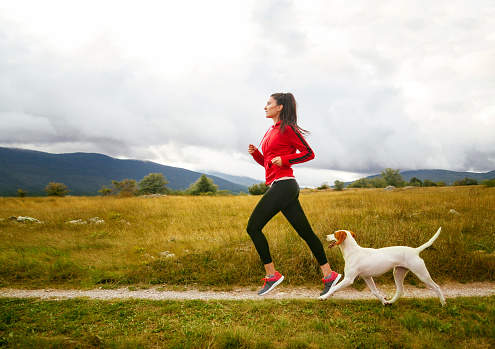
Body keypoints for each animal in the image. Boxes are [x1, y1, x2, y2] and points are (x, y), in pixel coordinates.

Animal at [320, 226, 448, 304]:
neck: (353, 251)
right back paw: (390, 302)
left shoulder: (348, 279)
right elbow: (375, 292)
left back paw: (443, 303)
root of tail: (415, 251)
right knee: (400, 291)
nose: (325, 236)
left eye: (335, 234)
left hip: (422, 274)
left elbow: (333, 288)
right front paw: (384, 301)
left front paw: (323, 297)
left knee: (437, 287)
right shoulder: (367, 277)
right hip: (398, 273)